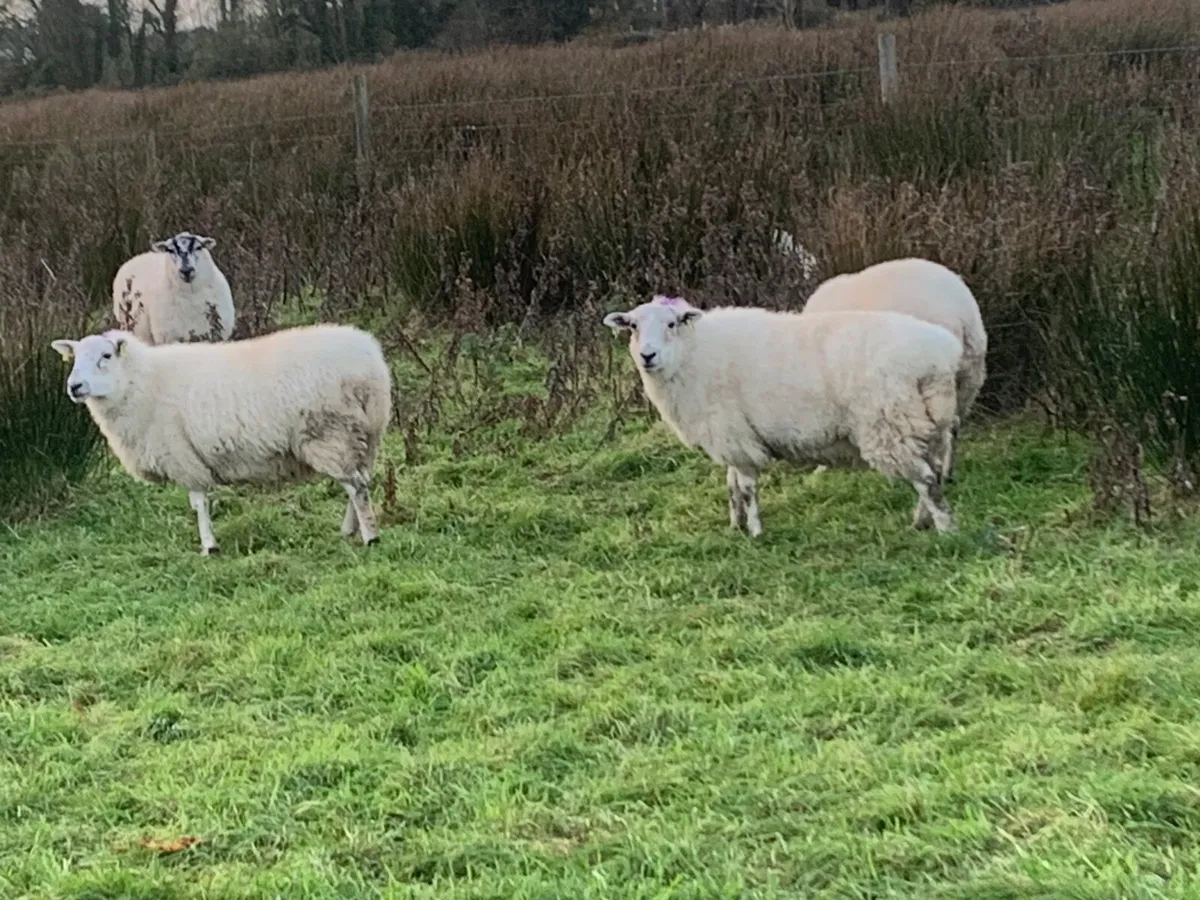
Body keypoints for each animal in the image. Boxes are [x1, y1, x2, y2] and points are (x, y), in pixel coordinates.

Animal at [50, 324, 391, 556]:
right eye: (74, 358)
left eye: (106, 355)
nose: (74, 386)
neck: (139, 382)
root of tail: (370, 363)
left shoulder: (183, 456)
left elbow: (199, 503)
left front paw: (209, 547)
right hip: (365, 434)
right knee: (360, 480)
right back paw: (350, 530)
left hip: (331, 433)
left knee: (356, 486)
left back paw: (370, 536)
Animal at [602, 295, 963, 536]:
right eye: (632, 326)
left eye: (671, 323)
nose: (648, 356)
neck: (691, 355)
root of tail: (940, 355)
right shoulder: (731, 436)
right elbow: (731, 485)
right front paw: (735, 525)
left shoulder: (734, 436)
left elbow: (747, 488)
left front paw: (755, 531)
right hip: (928, 422)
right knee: (933, 473)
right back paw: (922, 521)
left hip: (889, 424)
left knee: (927, 481)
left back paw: (946, 531)